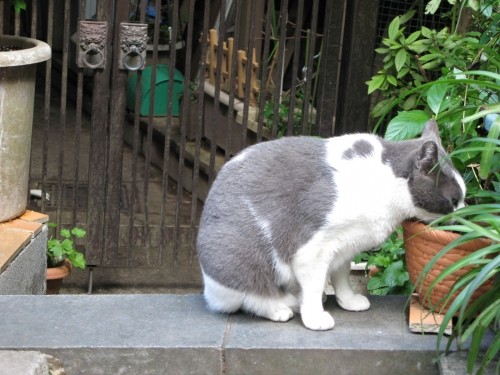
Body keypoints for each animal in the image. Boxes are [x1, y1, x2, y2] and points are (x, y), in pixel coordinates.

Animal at [196, 120, 464, 332]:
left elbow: (341, 277)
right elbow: (314, 286)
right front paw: (315, 318)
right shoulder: (312, 250)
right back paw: (282, 307)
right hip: (241, 259)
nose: (464, 215)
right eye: (453, 201)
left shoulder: (344, 247)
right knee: (252, 296)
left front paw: (349, 301)